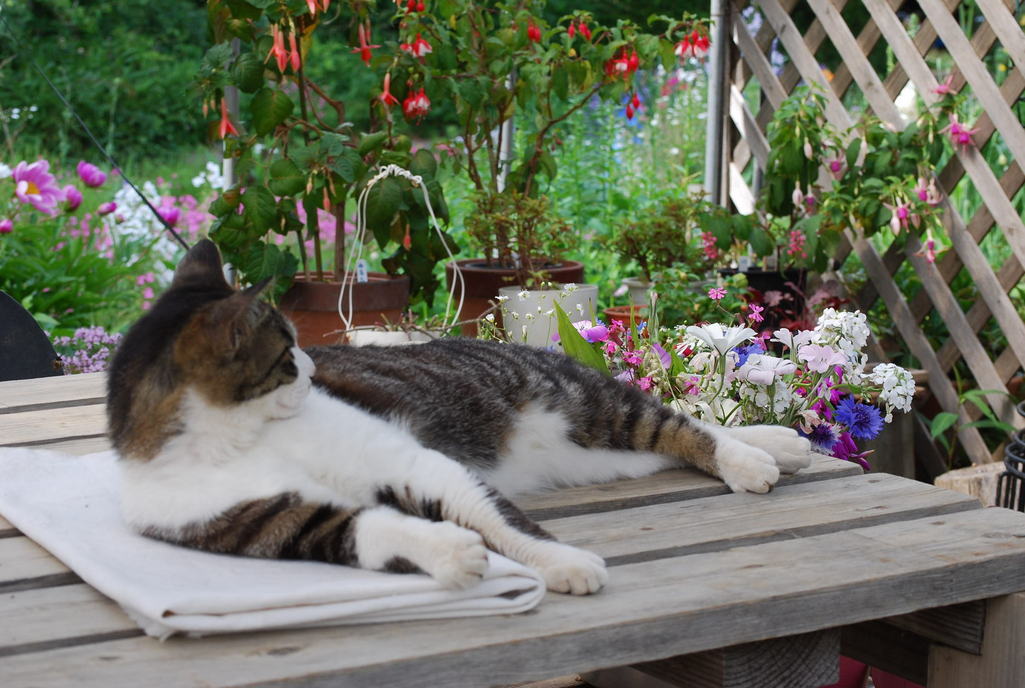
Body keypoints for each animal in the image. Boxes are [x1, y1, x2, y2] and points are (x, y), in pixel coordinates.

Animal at [107, 240, 812, 595]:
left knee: (678, 426)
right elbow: (364, 531)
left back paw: (751, 459)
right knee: (663, 442)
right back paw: (777, 445)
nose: (311, 366)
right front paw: (446, 554)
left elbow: (498, 521)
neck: (242, 438)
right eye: (285, 352)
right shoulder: (264, 522)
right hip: (588, 452)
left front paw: (559, 563)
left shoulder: (415, 460)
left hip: (581, 400)